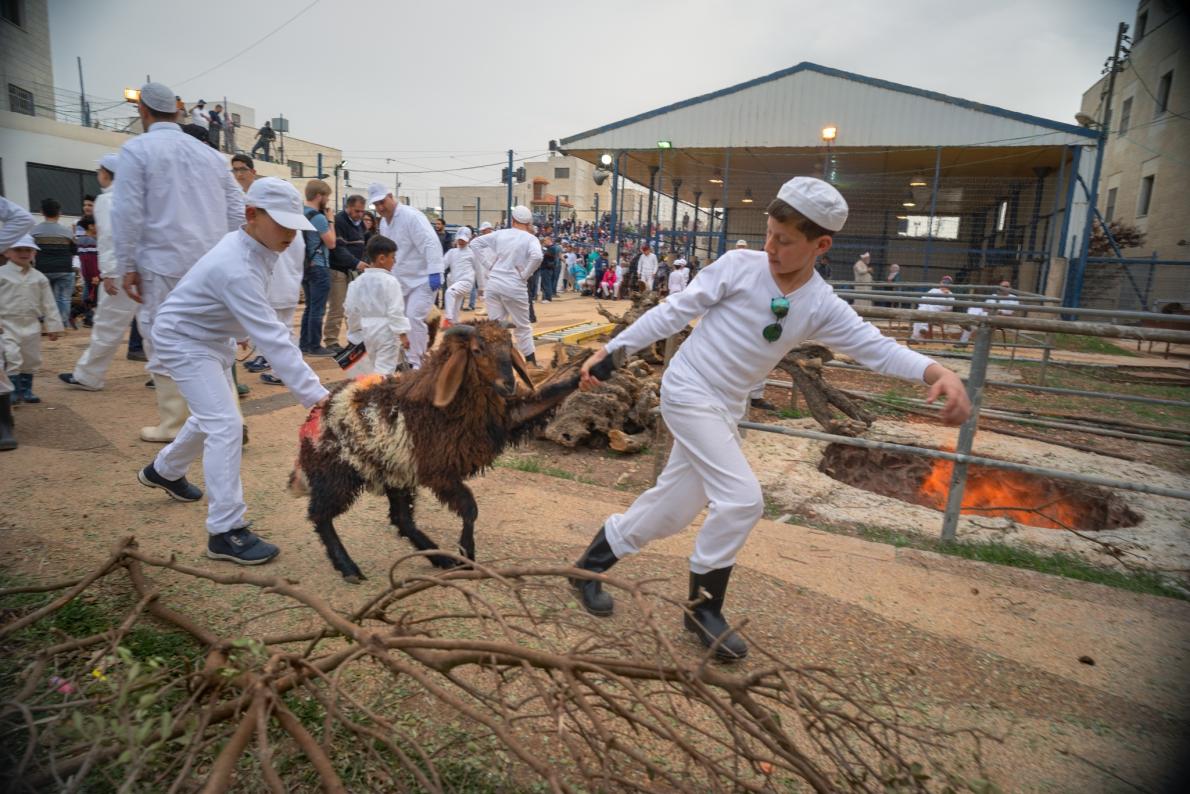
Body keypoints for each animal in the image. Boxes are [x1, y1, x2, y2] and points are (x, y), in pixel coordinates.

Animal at [289, 319, 604, 583]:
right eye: (477, 349)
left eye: (508, 346)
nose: (509, 384)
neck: (440, 407)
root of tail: (315, 415)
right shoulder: (439, 471)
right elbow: (470, 508)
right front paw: (467, 554)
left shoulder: (504, 420)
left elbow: (546, 397)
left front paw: (585, 370)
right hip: (336, 474)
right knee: (320, 515)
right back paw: (348, 567)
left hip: (395, 472)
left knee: (401, 519)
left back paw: (438, 558)